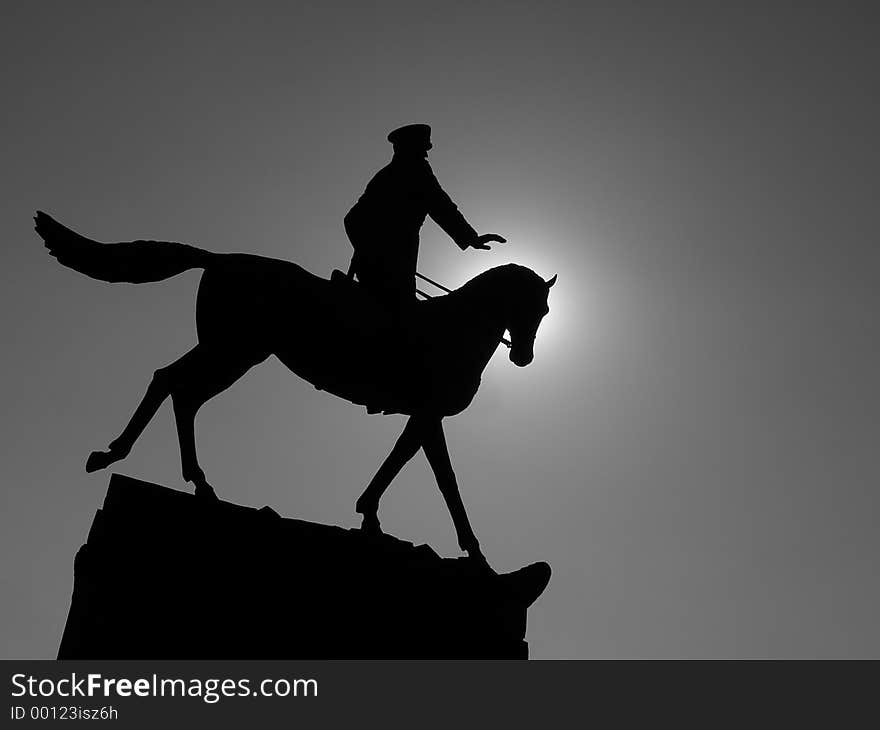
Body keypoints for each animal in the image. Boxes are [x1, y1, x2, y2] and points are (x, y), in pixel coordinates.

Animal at [37, 210, 556, 568]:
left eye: (545, 311)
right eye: (529, 306)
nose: (523, 358)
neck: (456, 327)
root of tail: (219, 260)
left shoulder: (422, 415)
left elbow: (400, 460)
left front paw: (368, 515)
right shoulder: (429, 414)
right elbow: (445, 480)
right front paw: (477, 553)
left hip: (235, 352)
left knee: (183, 392)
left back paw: (198, 483)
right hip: (233, 349)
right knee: (172, 382)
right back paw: (116, 455)